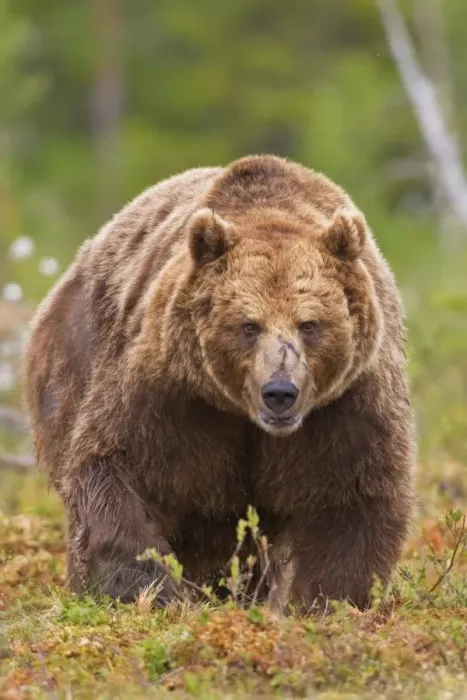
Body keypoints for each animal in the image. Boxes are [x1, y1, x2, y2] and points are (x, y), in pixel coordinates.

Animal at [23, 154, 416, 612]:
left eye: (309, 325)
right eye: (248, 325)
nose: (279, 392)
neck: (244, 416)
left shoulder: (345, 403)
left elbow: (351, 495)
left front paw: (330, 600)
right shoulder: (172, 393)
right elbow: (118, 465)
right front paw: (146, 590)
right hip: (71, 362)